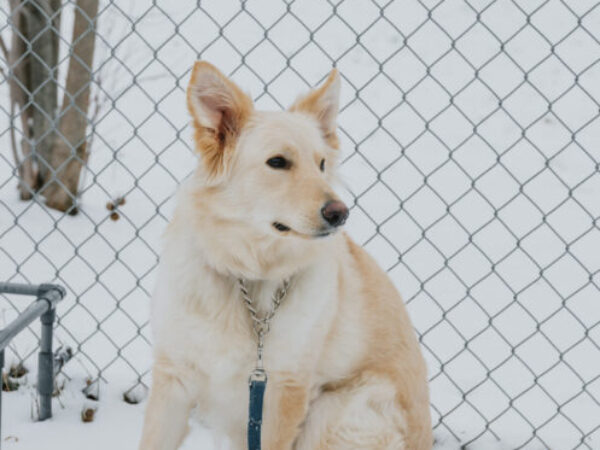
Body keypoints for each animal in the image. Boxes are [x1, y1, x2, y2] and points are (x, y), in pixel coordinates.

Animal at [140, 60, 432, 450]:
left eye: (321, 164)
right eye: (277, 162)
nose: (340, 213)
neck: (248, 275)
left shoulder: (283, 392)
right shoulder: (174, 376)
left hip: (334, 413)